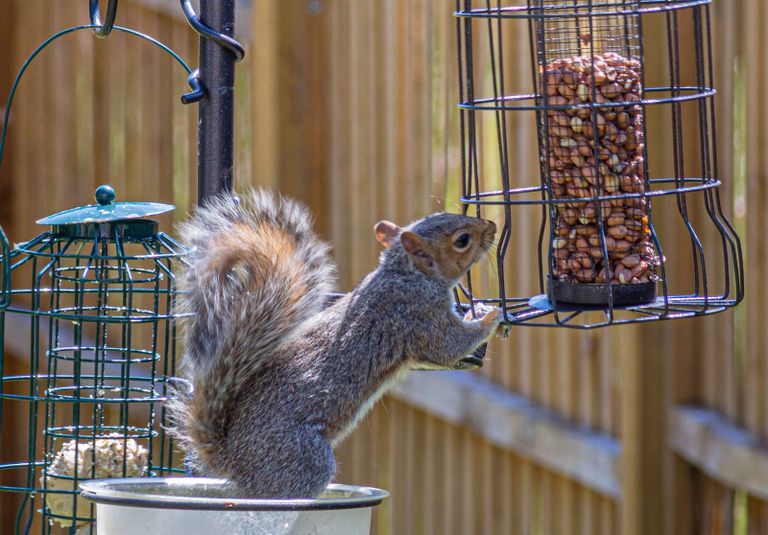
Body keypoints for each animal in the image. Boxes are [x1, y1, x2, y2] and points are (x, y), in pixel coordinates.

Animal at [168, 189, 503, 498]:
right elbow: (448, 347)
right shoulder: (415, 314)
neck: (406, 273)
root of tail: (231, 459)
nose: (492, 225)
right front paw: (490, 316)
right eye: (462, 240)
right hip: (302, 458)